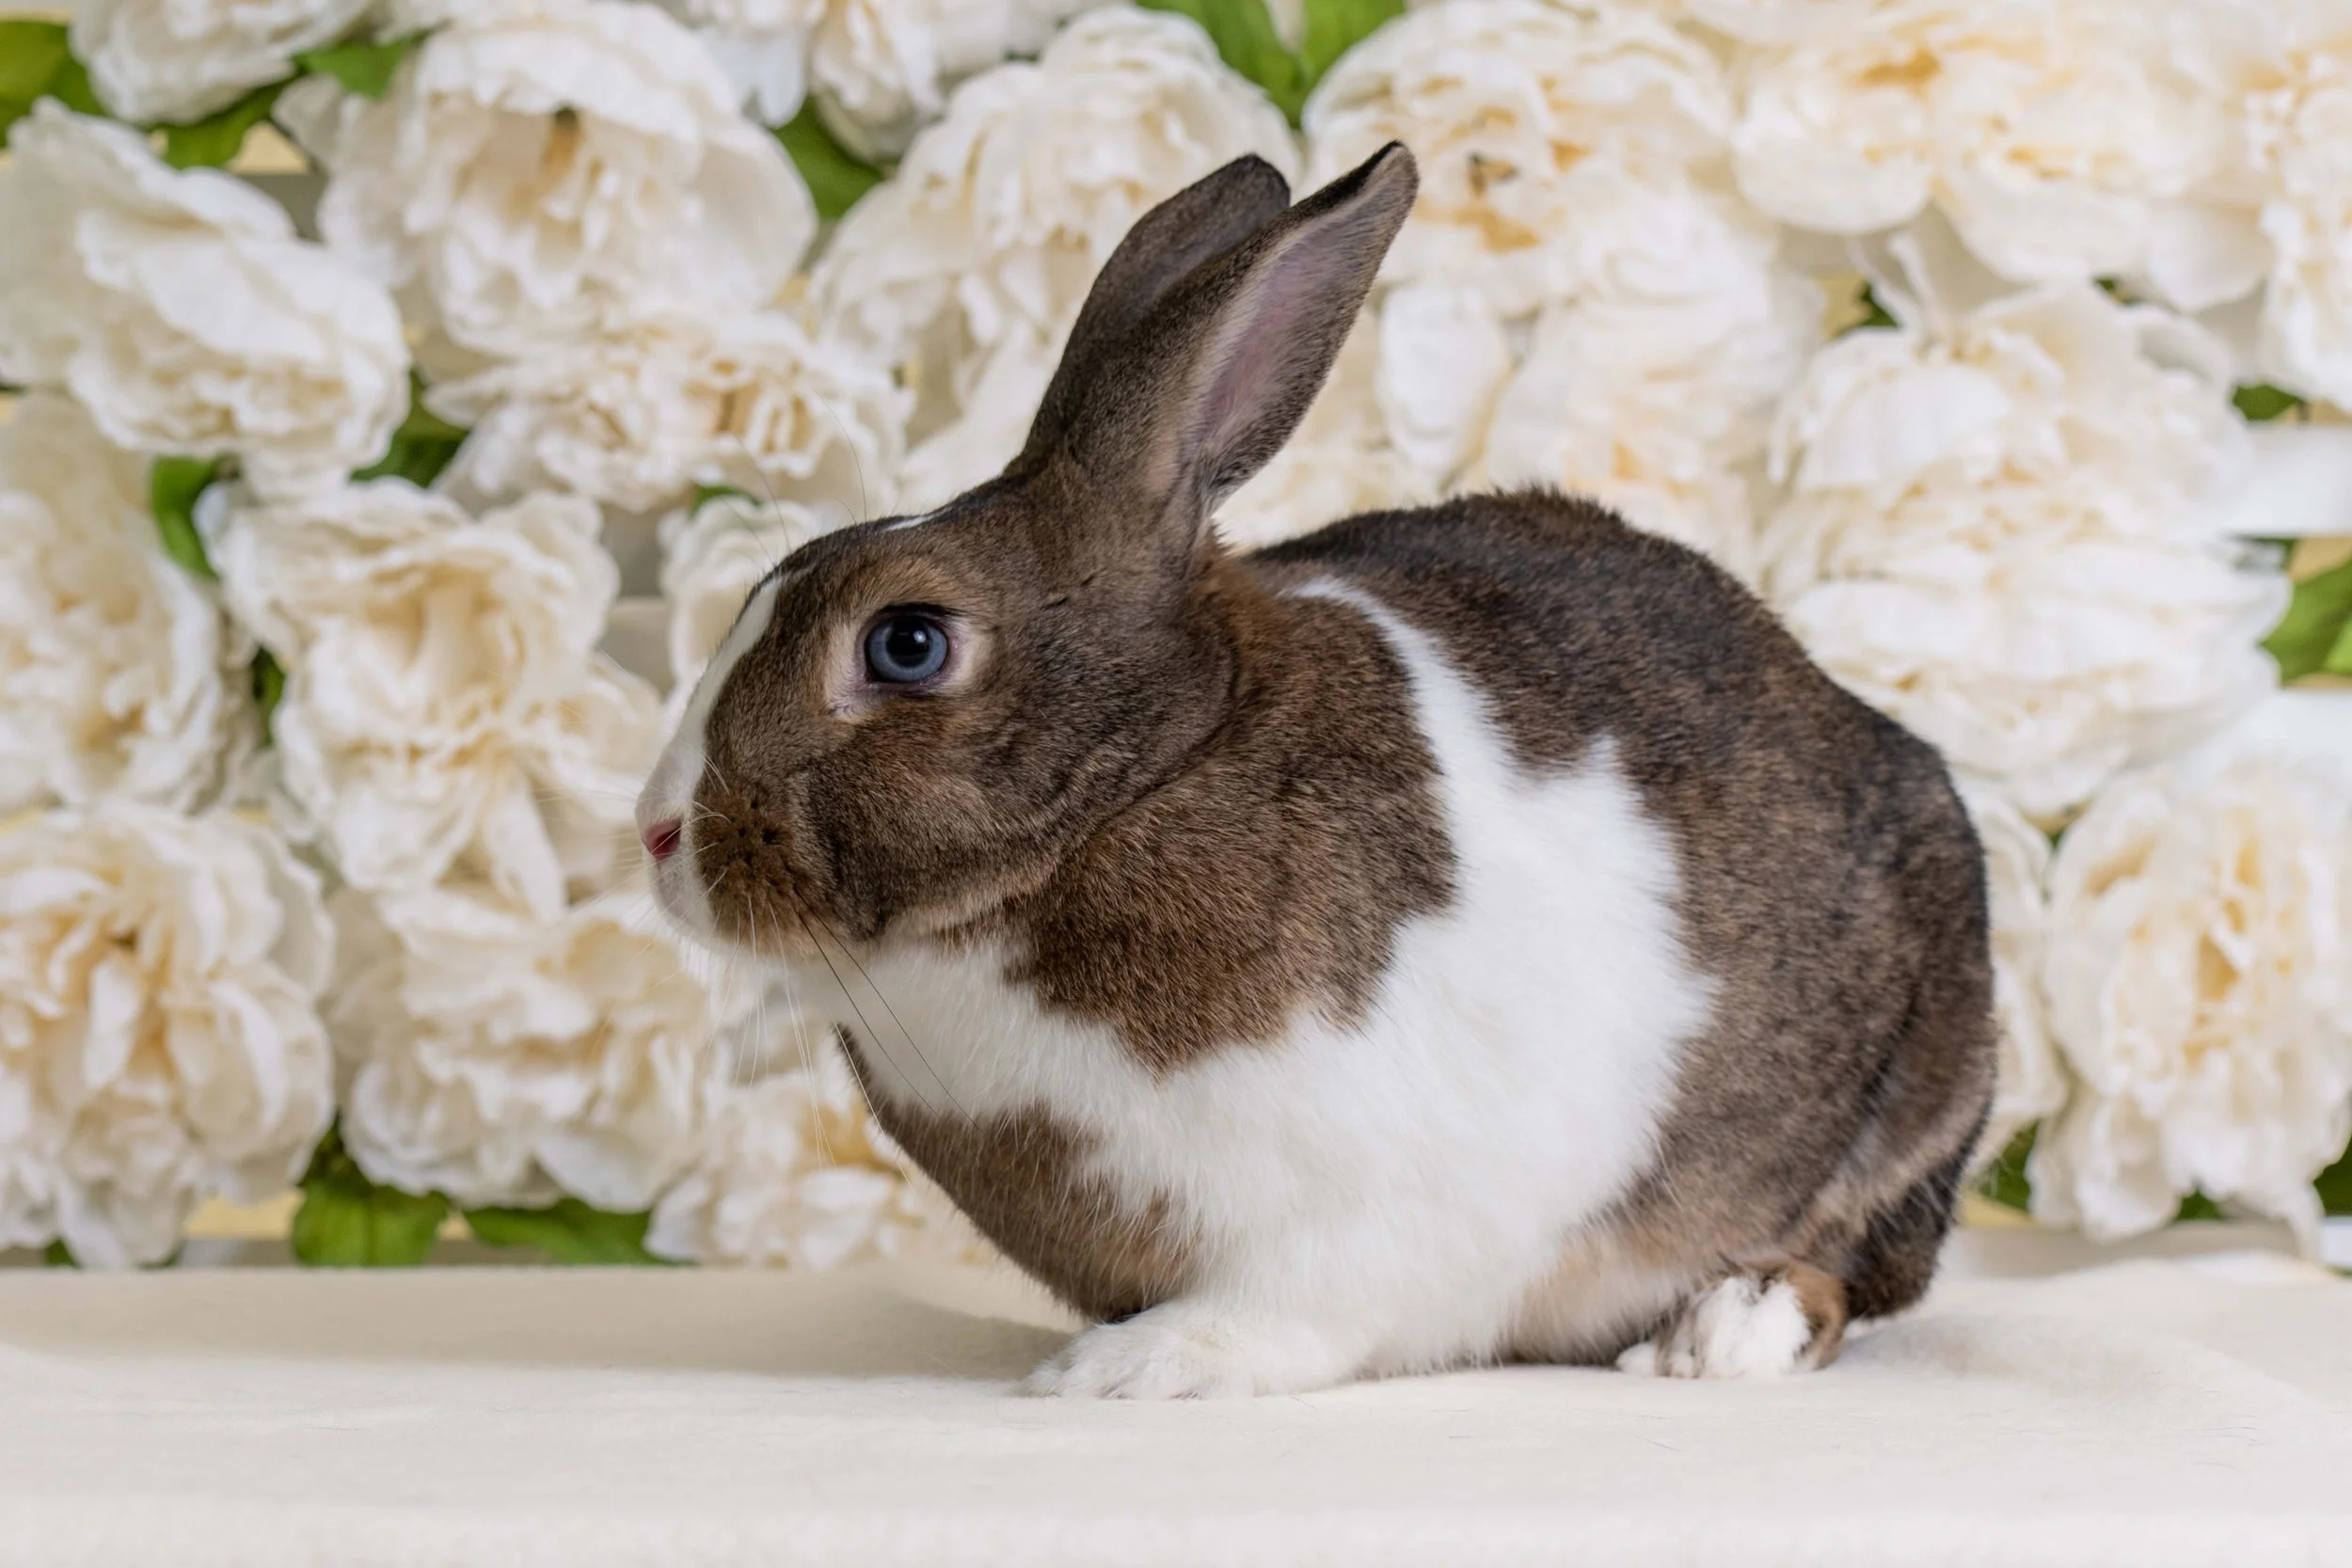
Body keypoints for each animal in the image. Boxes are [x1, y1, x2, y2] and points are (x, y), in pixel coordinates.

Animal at [637, 143, 1996, 1399]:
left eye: (907, 642)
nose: (657, 835)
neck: (1142, 784)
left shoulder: (1367, 1206)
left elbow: (1297, 1302)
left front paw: (1134, 1366)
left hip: (1910, 1096)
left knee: (1855, 1266)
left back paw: (1720, 1331)